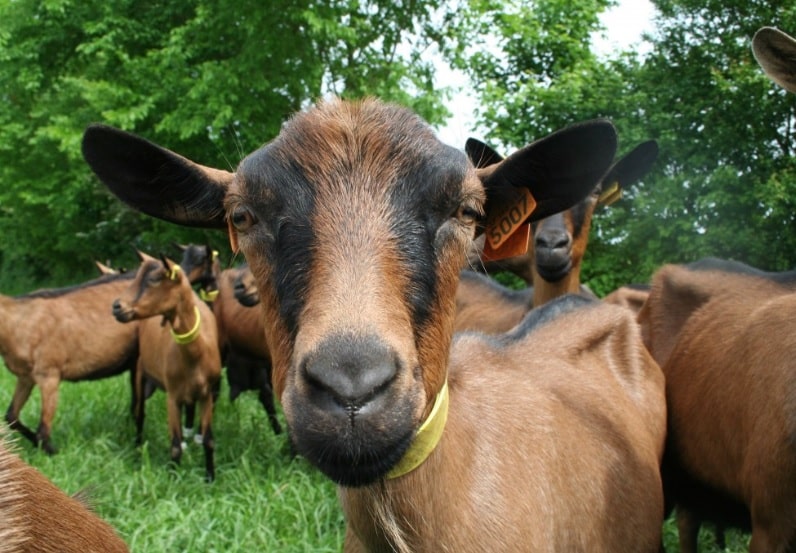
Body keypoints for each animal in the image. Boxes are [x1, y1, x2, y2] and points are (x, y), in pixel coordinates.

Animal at [1, 272, 138, 452]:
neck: (16, 324)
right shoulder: (26, 376)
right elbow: (11, 416)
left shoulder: (49, 374)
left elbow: (43, 430)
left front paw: (52, 451)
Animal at [110, 250, 219, 478]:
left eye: (153, 279)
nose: (116, 307)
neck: (196, 354)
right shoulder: (173, 395)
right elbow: (175, 445)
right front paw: (174, 477)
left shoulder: (207, 394)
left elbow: (209, 441)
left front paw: (210, 477)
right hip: (141, 373)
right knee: (139, 414)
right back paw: (137, 447)